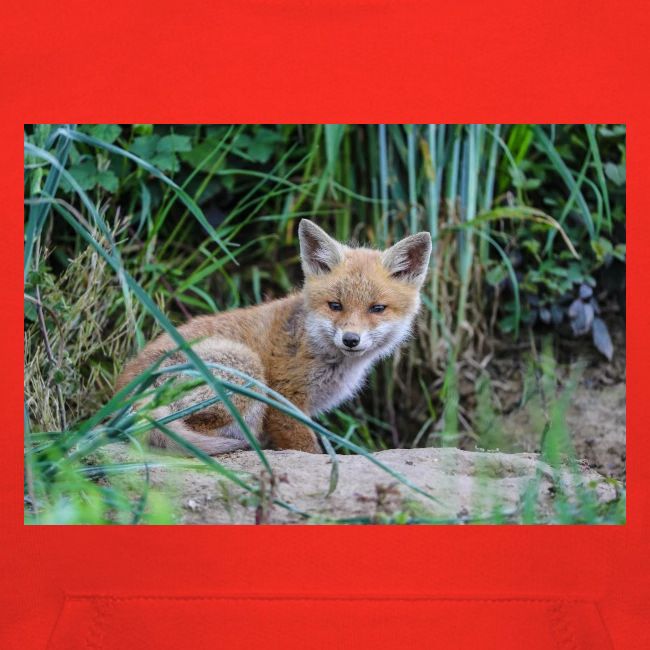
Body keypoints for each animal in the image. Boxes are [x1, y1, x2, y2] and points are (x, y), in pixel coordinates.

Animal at [116, 219, 432, 455]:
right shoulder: (284, 400)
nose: (351, 339)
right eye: (335, 305)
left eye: (377, 308)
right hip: (246, 369)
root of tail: (124, 394)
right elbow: (307, 449)